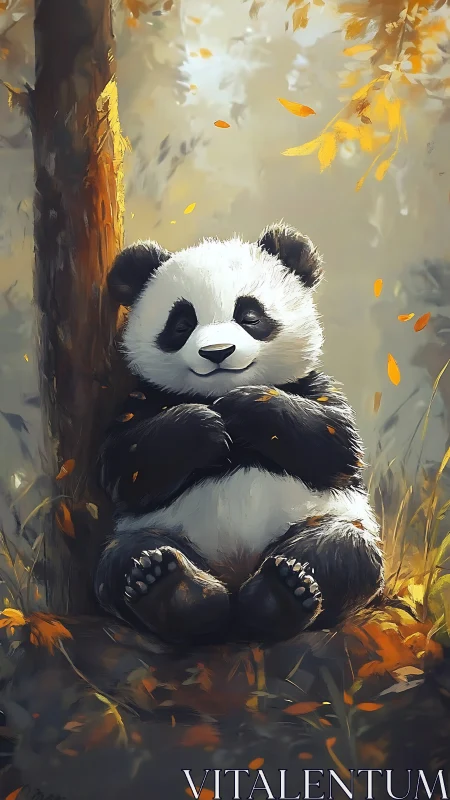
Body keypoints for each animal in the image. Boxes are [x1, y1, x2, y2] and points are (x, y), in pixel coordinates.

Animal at [96, 223, 384, 645]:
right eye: (181, 324)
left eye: (249, 316)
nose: (218, 352)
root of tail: (235, 575)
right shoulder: (141, 399)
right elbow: (123, 464)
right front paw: (205, 424)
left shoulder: (314, 386)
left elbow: (337, 442)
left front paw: (242, 406)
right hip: (164, 529)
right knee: (125, 557)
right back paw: (174, 590)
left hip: (322, 518)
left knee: (343, 551)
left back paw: (280, 593)